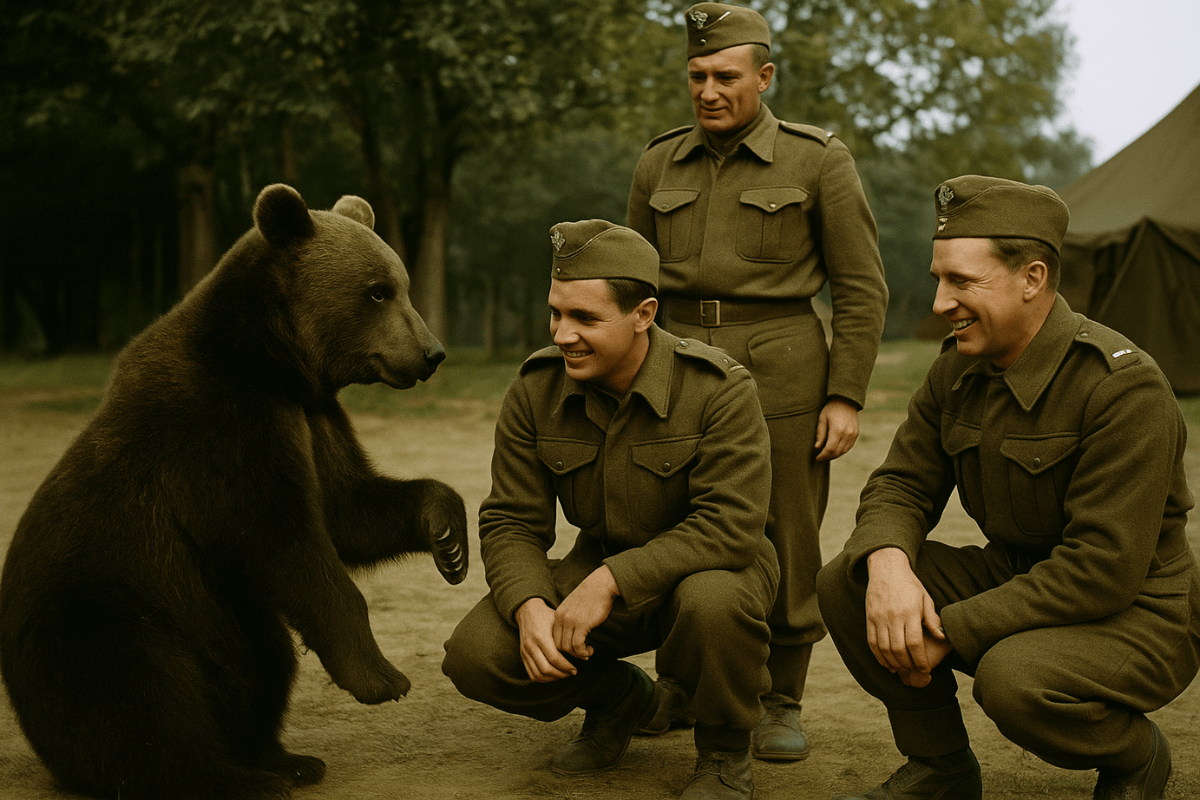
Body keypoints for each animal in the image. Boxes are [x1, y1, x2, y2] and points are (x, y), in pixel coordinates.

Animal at [0, 184, 469, 800]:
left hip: (224, 615)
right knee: (140, 700)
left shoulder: (311, 415)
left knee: (263, 661)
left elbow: (348, 509)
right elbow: (286, 541)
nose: (432, 352)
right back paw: (233, 778)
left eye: (403, 285)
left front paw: (449, 539)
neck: (270, 362)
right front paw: (383, 677)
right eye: (377, 291)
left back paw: (284, 759)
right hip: (110, 609)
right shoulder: (223, 429)